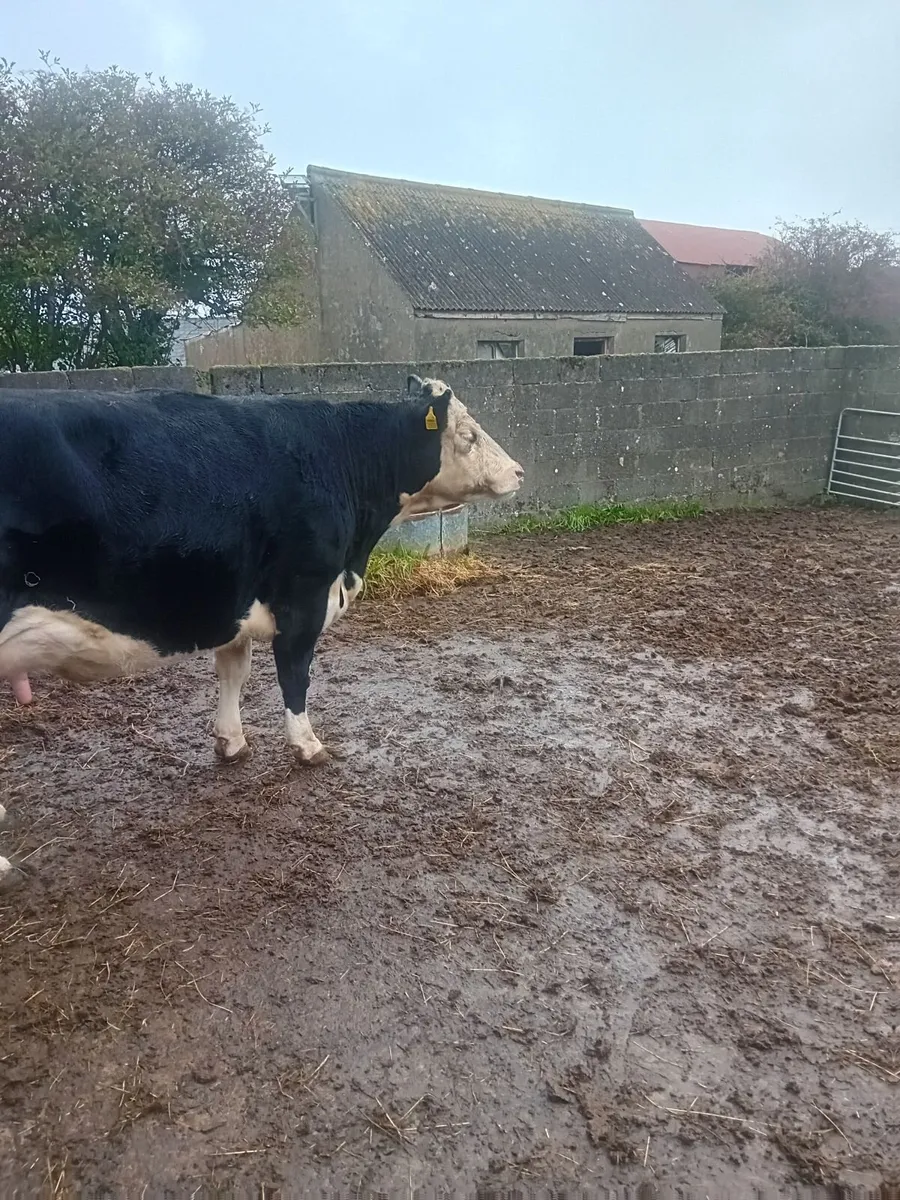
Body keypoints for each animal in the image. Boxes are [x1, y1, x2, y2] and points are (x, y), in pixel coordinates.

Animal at [0, 375, 523, 786]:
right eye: (469, 434)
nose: (519, 471)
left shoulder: (236, 601)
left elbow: (234, 671)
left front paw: (231, 742)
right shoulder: (304, 596)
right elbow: (295, 675)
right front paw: (308, 746)